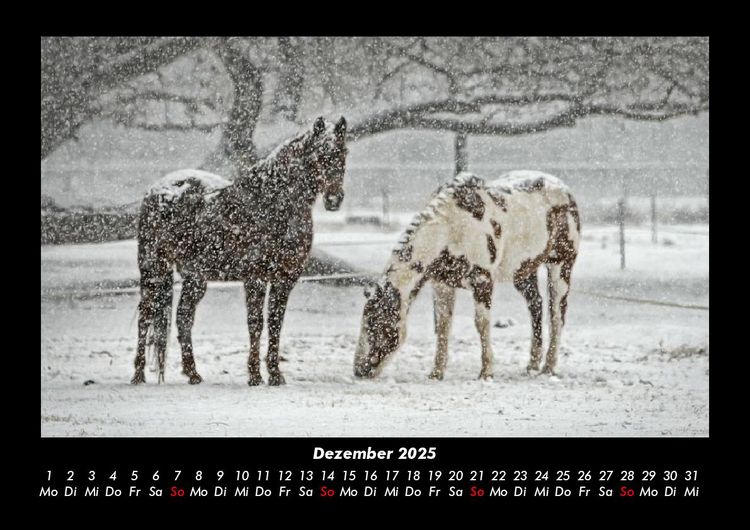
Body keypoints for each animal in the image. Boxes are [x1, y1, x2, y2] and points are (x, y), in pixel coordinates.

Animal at [131, 116, 348, 386]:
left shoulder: (285, 279)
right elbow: (256, 323)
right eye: (319, 155)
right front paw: (255, 375)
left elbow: (275, 323)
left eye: (343, 152)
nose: (334, 199)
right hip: (153, 269)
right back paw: (138, 374)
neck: (273, 204)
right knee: (145, 316)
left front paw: (275, 374)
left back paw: (193, 373)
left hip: (195, 278)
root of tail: (157, 189)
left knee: (183, 317)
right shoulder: (255, 278)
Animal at [353, 170, 580, 381]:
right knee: (536, 306)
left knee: (557, 314)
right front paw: (436, 373)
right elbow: (443, 326)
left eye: (376, 324)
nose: (359, 370)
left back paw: (549, 367)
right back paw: (532, 365)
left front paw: (486, 372)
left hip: (561, 266)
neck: (451, 228)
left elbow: (481, 324)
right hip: (523, 271)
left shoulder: (482, 281)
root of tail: (565, 190)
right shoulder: (442, 284)